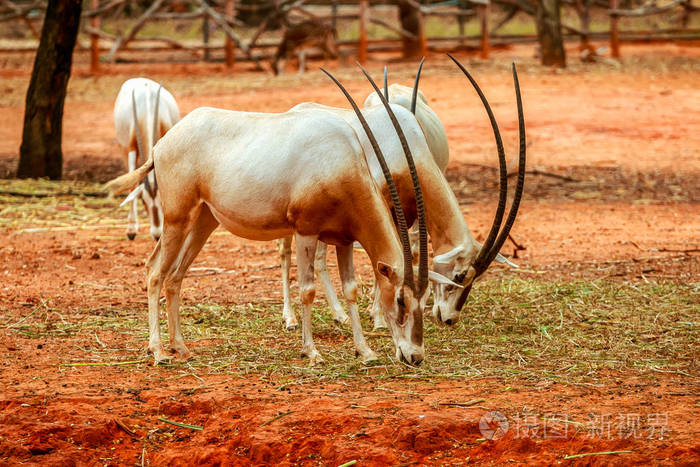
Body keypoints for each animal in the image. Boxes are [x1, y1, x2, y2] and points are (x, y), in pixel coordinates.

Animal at [113, 78, 180, 241]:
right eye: (143, 200)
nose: (156, 234)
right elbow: (132, 184)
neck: (148, 109)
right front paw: (131, 230)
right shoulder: (130, 148)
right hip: (123, 147)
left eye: (162, 201)